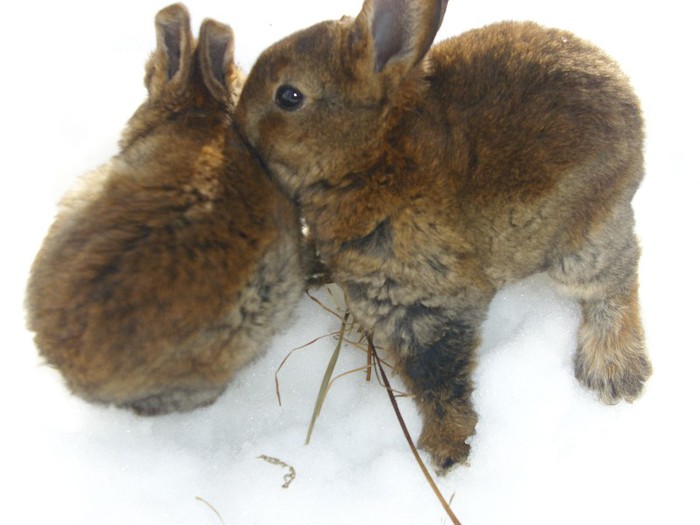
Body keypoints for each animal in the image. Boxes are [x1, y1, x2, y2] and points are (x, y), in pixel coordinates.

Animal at [234, 0, 652, 470]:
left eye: (289, 96)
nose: (237, 125)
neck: (373, 157)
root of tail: (627, 99)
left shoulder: (426, 304)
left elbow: (437, 379)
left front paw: (447, 449)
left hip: (580, 246)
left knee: (618, 278)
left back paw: (613, 369)